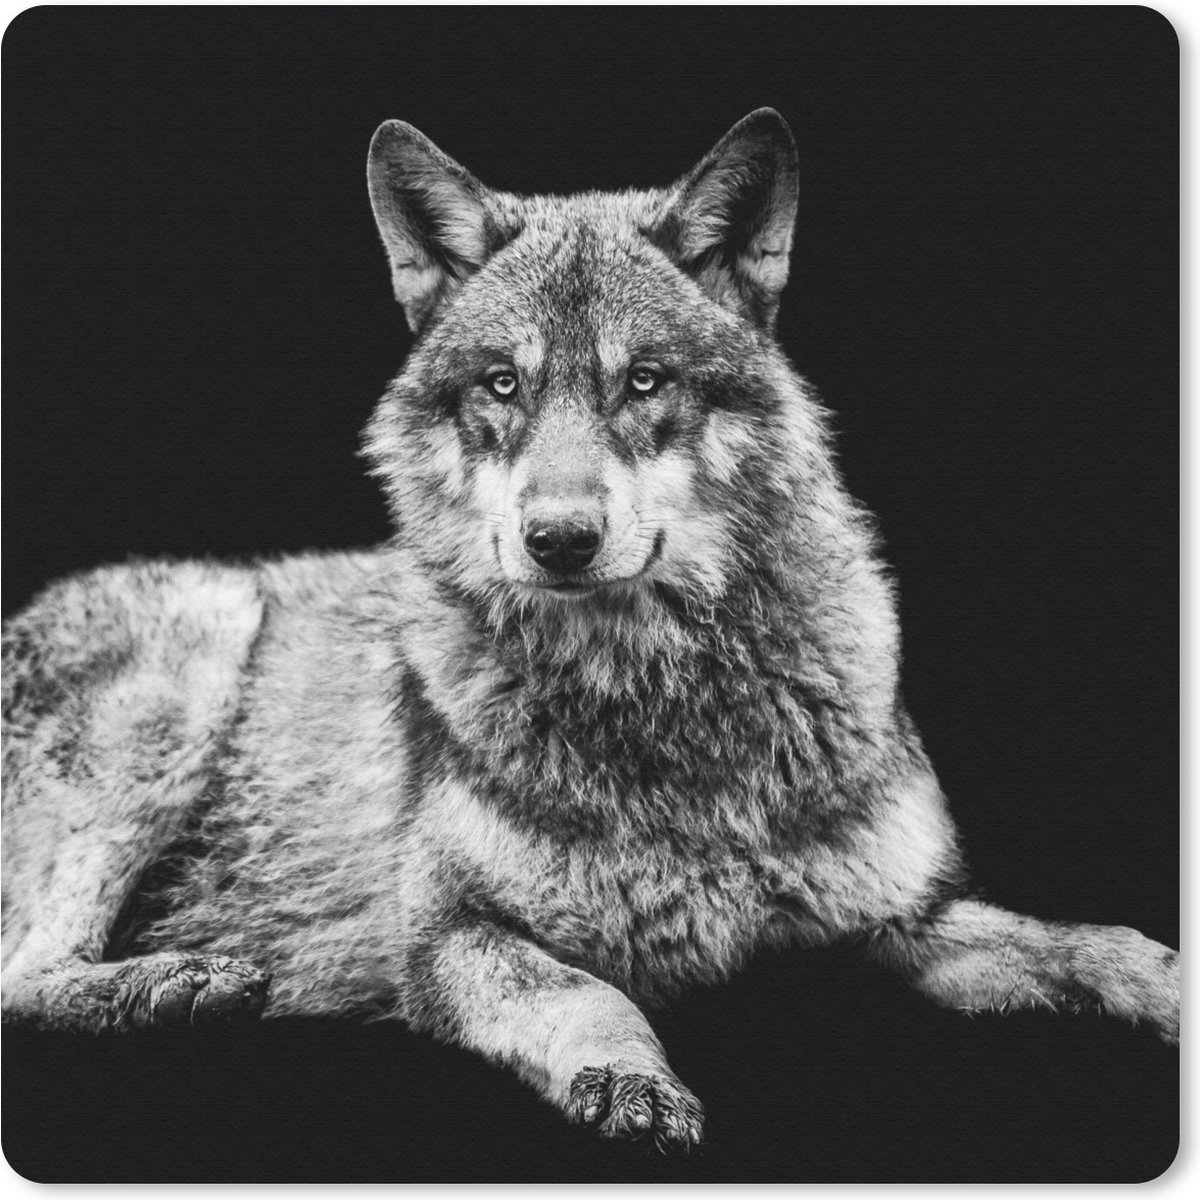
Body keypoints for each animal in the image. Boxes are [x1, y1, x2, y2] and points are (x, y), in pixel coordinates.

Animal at [1, 109, 1178, 1152]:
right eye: (503, 386)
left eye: (643, 380)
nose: (560, 539)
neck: (661, 704)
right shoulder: (450, 936)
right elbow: (587, 993)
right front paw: (629, 1082)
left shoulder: (906, 919)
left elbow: (1092, 942)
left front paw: (1165, 983)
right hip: (188, 665)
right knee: (22, 976)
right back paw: (180, 985)